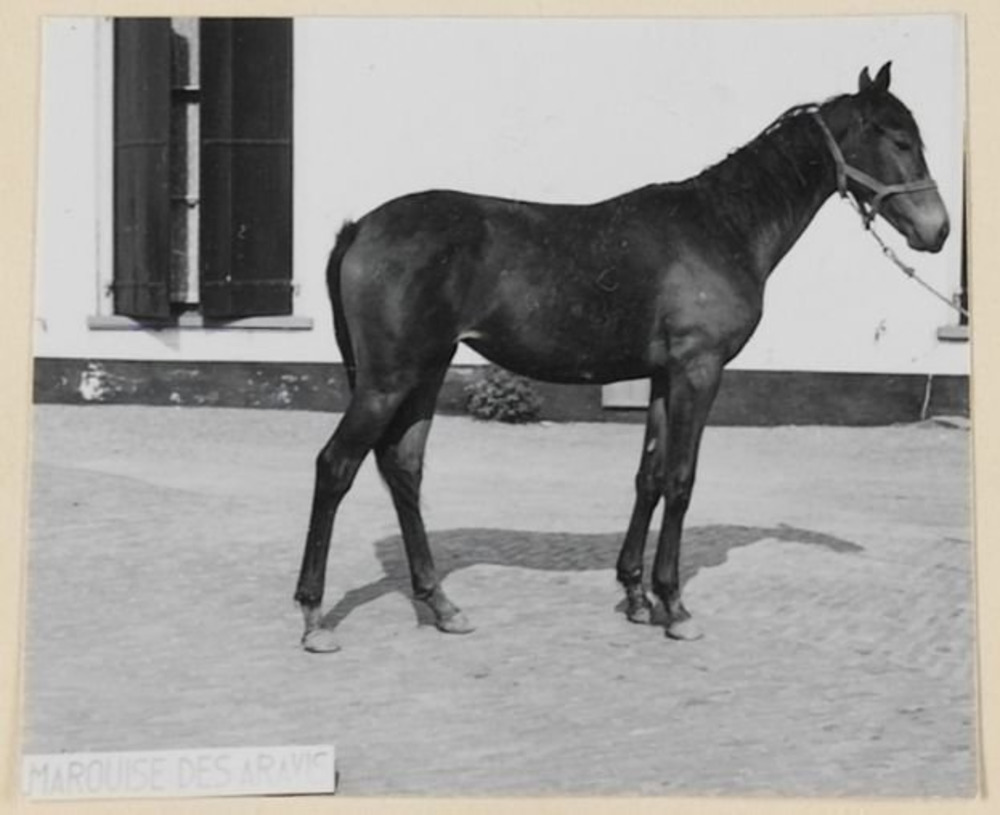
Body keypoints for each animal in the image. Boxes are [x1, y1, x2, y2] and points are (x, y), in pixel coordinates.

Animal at [294, 62, 950, 652]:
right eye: (898, 139)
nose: (938, 231)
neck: (721, 226)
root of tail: (359, 227)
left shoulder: (663, 376)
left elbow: (649, 477)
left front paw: (637, 595)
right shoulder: (698, 371)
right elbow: (681, 480)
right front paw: (676, 606)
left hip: (427, 371)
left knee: (403, 467)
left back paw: (442, 605)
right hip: (388, 379)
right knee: (335, 465)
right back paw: (314, 616)